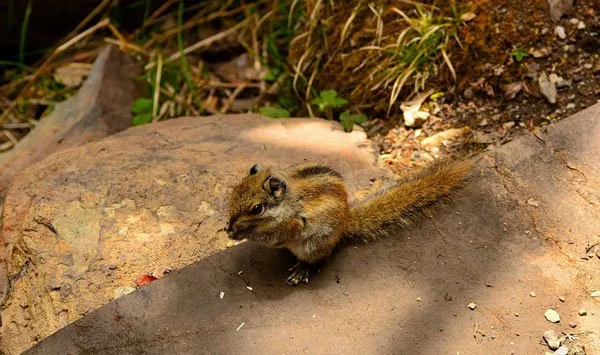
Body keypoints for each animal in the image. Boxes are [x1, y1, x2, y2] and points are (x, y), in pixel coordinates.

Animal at [226, 161, 474, 286]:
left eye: (257, 209)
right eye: (235, 190)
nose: (230, 225)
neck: (286, 203)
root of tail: (345, 222)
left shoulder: (290, 227)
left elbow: (272, 238)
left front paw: (238, 233)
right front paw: (230, 227)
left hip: (314, 246)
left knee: (319, 259)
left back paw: (301, 270)